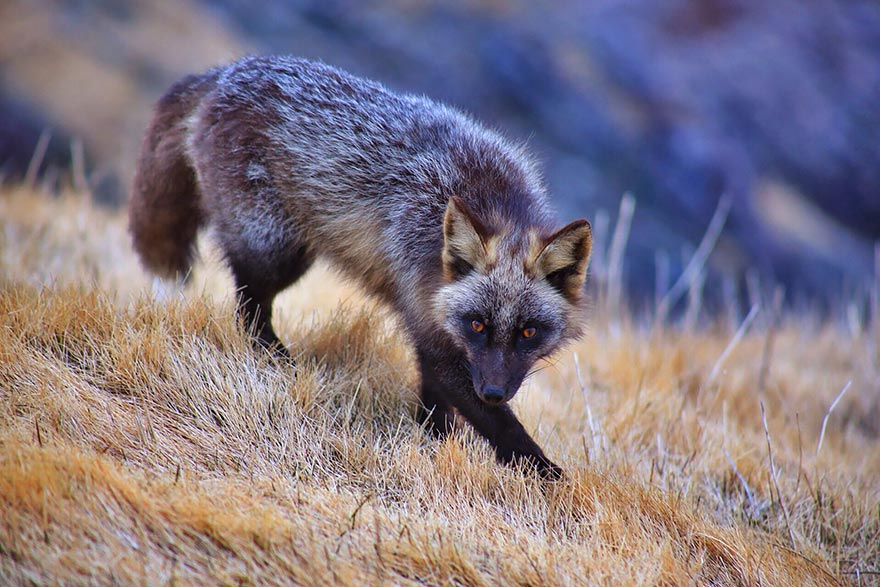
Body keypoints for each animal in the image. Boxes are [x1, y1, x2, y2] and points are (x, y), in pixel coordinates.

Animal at [129, 55, 592, 480]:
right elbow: (497, 423)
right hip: (276, 251)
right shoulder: (430, 325)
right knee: (249, 306)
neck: (491, 201)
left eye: (528, 332)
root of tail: (227, 71)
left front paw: (434, 444)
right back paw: (275, 360)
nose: (494, 391)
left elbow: (437, 404)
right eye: (477, 325)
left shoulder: (435, 328)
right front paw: (547, 475)